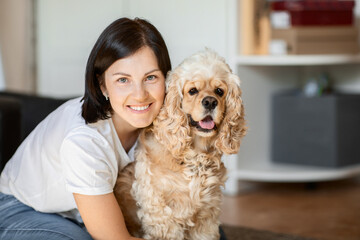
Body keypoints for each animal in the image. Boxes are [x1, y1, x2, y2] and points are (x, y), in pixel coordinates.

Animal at [114, 49, 246, 240]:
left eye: (219, 91)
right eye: (192, 91)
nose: (210, 102)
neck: (195, 156)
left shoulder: (207, 213)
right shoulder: (162, 215)